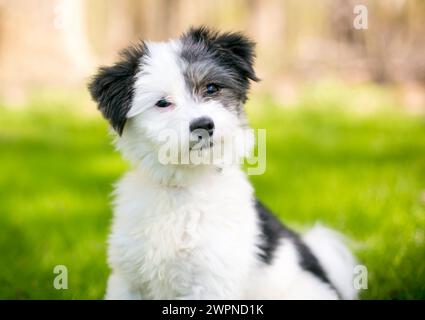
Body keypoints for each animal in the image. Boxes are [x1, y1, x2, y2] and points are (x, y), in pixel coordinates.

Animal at [89, 27, 358, 300]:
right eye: (162, 103)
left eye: (211, 88)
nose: (203, 125)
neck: (183, 189)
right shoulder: (127, 280)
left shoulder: (211, 284)